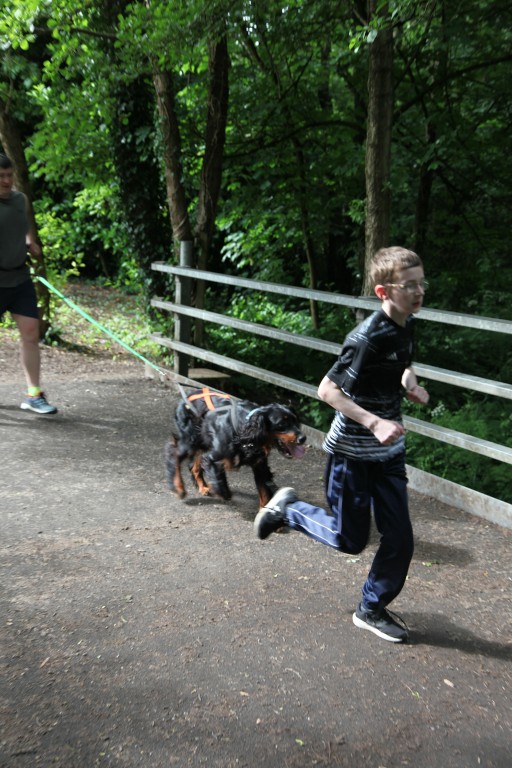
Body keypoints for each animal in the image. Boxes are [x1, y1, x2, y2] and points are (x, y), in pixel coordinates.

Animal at [165, 387, 306, 508]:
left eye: (296, 421)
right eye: (282, 423)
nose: (303, 438)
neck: (245, 426)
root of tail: (185, 398)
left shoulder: (260, 464)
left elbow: (265, 493)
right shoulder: (213, 457)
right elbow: (221, 483)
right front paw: (221, 491)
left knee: (193, 465)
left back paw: (203, 487)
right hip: (190, 440)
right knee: (173, 453)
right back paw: (179, 488)